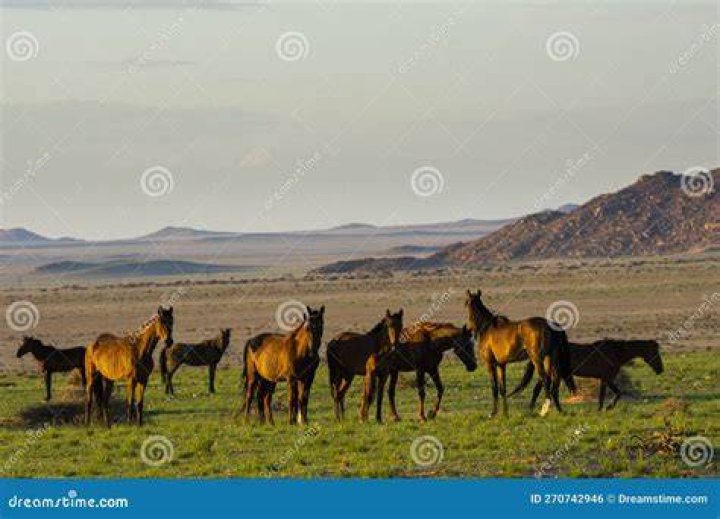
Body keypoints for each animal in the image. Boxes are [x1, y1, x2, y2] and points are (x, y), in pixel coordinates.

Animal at [509, 339, 664, 411]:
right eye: (655, 352)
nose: (661, 369)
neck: (615, 352)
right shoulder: (608, 378)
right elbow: (618, 393)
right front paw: (609, 407)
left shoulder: (604, 379)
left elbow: (602, 395)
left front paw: (600, 409)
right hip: (554, 374)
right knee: (549, 391)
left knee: (537, 389)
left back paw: (532, 408)